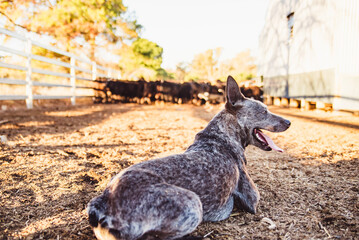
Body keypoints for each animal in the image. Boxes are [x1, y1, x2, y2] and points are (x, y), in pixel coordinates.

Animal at [88, 76, 292, 239]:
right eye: (264, 111)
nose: (289, 122)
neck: (219, 136)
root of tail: (105, 200)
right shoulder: (252, 198)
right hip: (193, 204)